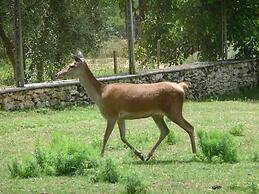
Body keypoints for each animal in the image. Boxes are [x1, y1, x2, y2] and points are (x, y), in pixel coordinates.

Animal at [55, 50, 197, 161]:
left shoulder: (112, 114)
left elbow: (105, 136)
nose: (57, 74)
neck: (101, 94)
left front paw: (100, 156)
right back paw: (148, 155)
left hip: (174, 110)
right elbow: (123, 137)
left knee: (190, 127)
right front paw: (139, 154)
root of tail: (181, 87)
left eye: (71, 65)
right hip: (157, 114)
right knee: (165, 130)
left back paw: (195, 152)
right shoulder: (120, 117)